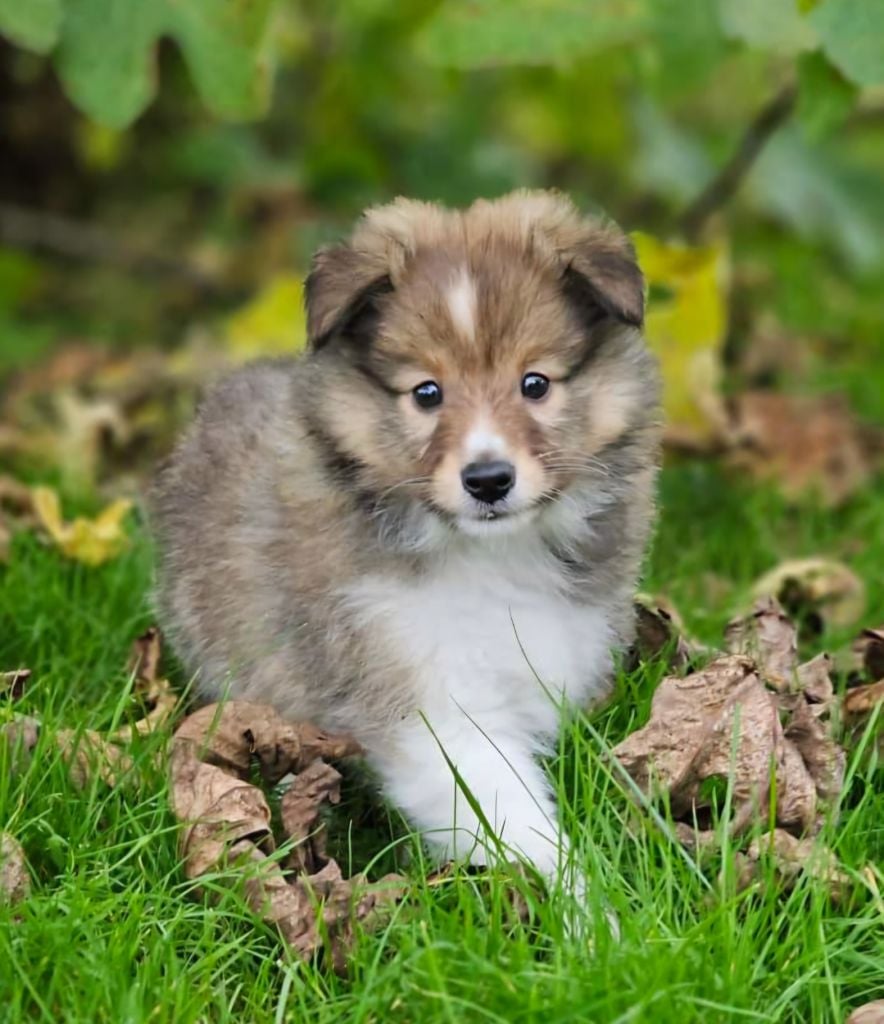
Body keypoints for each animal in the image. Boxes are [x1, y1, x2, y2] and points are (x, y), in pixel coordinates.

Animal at [151, 190, 659, 888]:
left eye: (534, 383)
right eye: (427, 393)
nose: (488, 480)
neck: (490, 557)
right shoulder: (425, 702)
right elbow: (511, 816)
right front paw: (584, 907)